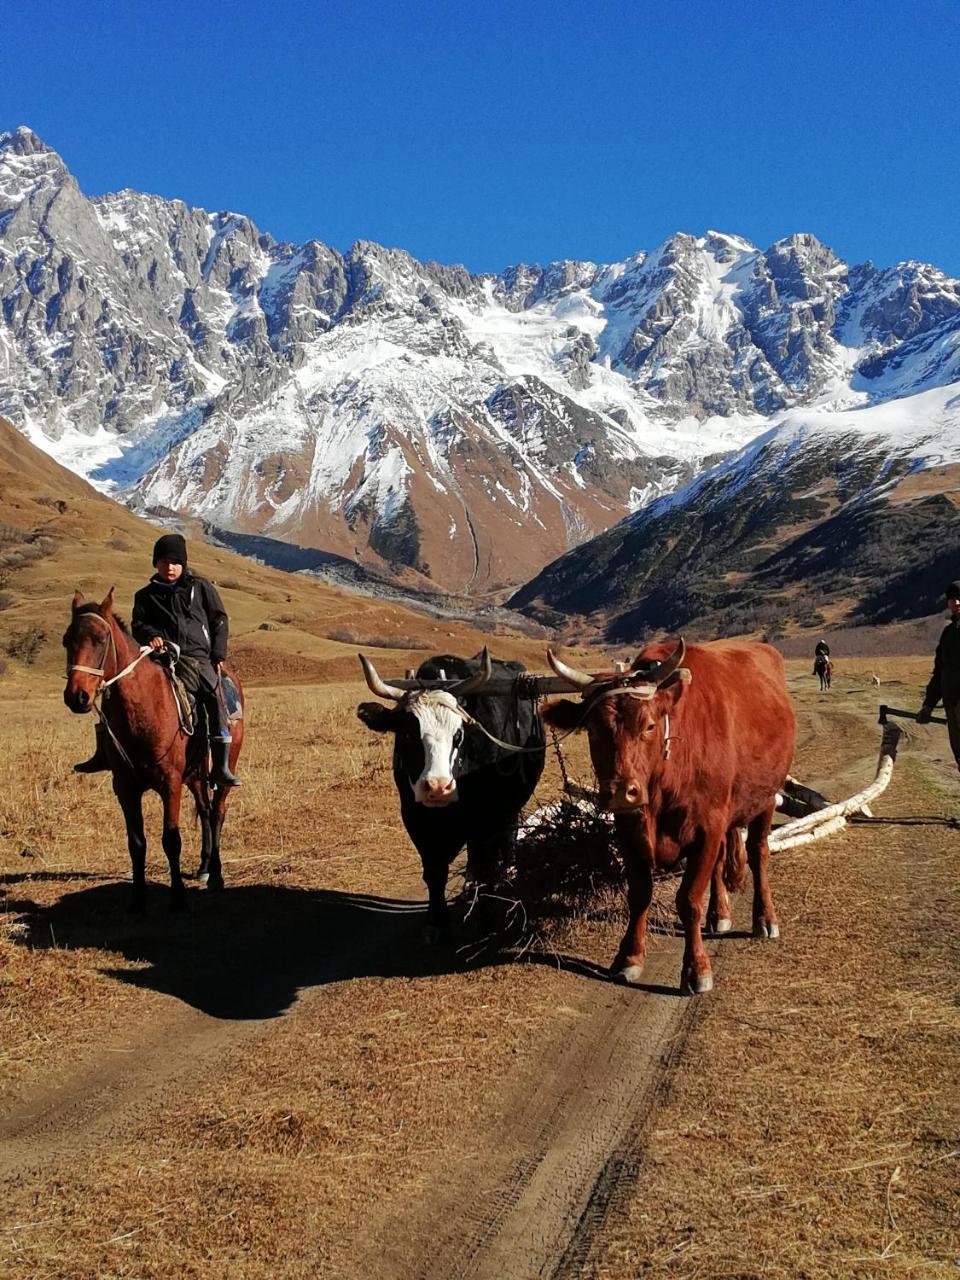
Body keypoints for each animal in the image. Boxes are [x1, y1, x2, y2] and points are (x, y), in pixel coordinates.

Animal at [62, 588, 244, 911]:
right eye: (66, 640)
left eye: (100, 639)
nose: (77, 696)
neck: (143, 708)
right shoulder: (125, 788)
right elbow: (137, 844)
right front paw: (138, 900)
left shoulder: (170, 784)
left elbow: (171, 840)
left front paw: (179, 899)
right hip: (195, 775)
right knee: (205, 810)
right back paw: (204, 867)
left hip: (223, 767)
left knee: (218, 812)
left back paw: (217, 876)